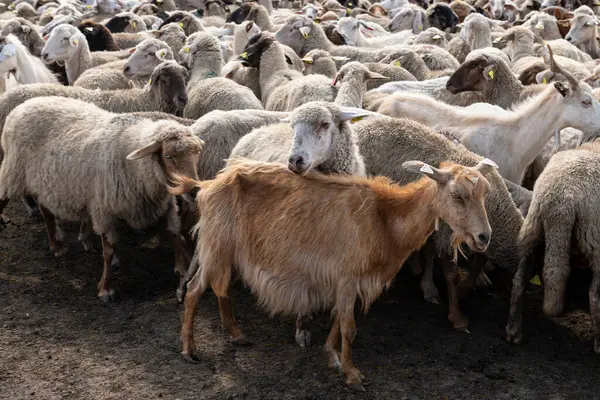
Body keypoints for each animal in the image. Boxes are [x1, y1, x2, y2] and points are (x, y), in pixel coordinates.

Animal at [0, 97, 204, 304]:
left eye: (197, 154)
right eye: (168, 156)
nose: (194, 191)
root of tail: (26, 104)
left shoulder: (161, 205)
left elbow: (175, 235)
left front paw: (186, 270)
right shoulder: (104, 209)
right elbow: (109, 250)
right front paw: (106, 288)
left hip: (44, 181)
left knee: (46, 210)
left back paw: (55, 245)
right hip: (13, 170)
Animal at [172, 157, 492, 390]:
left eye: (485, 194)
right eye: (457, 195)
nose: (484, 237)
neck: (384, 218)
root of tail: (206, 185)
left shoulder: (346, 280)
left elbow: (340, 319)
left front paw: (333, 357)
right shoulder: (348, 276)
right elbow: (350, 328)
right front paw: (352, 374)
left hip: (228, 251)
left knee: (221, 288)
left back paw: (236, 334)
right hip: (216, 245)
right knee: (195, 290)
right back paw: (189, 350)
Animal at [506, 140, 600, 354]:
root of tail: (561, 200)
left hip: (533, 232)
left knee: (519, 280)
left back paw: (514, 332)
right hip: (594, 239)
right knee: (594, 296)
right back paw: (599, 345)